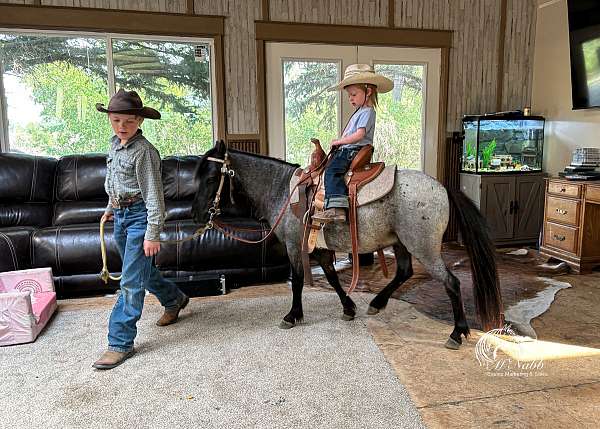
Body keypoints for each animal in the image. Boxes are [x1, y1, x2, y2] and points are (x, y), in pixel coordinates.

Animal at [192, 142, 502, 350]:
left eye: (211, 178)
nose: (196, 216)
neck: (282, 191)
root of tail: (442, 187)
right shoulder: (320, 249)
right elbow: (331, 276)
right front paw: (349, 308)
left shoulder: (295, 246)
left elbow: (298, 280)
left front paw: (293, 315)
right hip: (401, 243)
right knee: (404, 272)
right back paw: (377, 303)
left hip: (423, 247)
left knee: (451, 282)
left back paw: (457, 332)